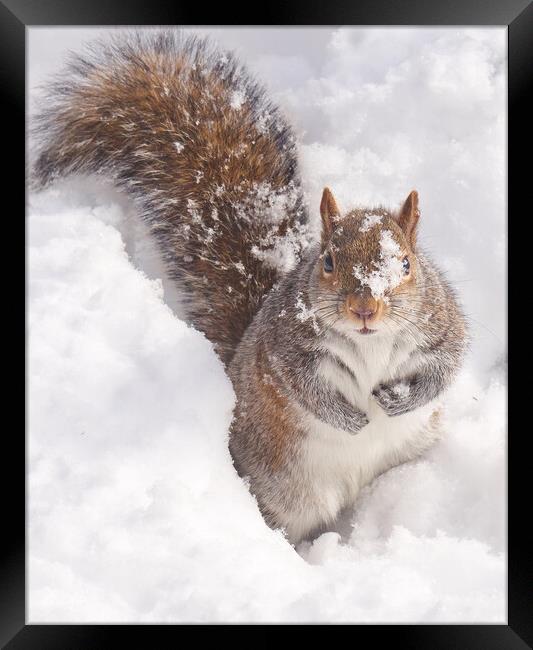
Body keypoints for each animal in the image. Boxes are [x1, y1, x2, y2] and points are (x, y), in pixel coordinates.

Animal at [31, 33, 468, 544]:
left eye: (405, 264)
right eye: (328, 262)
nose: (364, 309)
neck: (370, 343)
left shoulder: (442, 327)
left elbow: (445, 368)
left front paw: (398, 400)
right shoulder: (284, 348)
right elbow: (306, 389)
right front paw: (350, 418)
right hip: (283, 489)